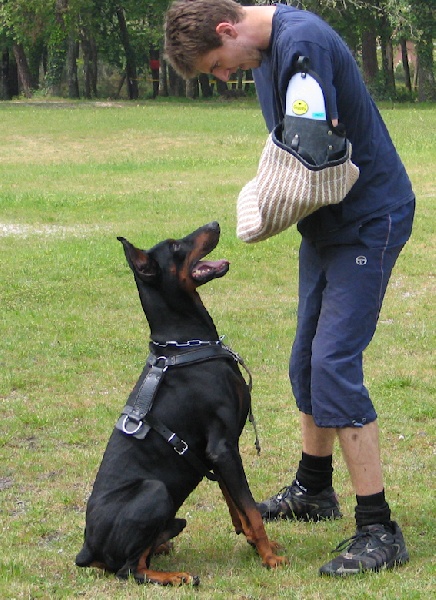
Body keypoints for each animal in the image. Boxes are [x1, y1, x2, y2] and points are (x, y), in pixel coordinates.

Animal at [76, 221, 286, 584]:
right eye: (175, 246)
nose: (215, 223)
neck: (185, 345)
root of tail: (87, 548)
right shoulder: (222, 447)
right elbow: (251, 509)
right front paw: (269, 558)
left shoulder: (215, 453)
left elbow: (237, 506)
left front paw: (258, 545)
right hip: (155, 490)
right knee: (129, 569)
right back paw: (175, 576)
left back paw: (162, 546)